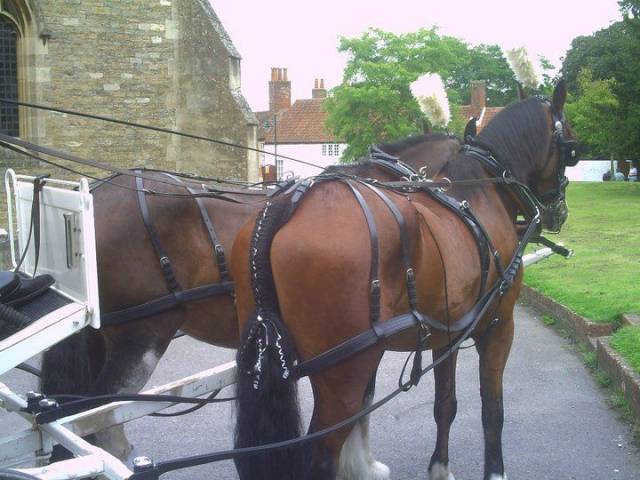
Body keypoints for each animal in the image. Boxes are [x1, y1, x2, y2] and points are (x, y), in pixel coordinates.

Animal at [231, 80, 578, 480]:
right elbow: (493, 409)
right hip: (344, 372)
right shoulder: (499, 326)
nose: (559, 211)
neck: (479, 192)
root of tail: (287, 204)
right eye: (572, 149)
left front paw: (439, 467)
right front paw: (494, 471)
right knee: (321, 454)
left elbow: (446, 404)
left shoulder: (448, 333)